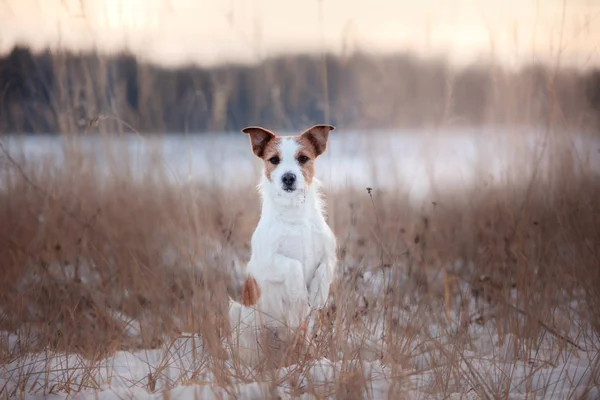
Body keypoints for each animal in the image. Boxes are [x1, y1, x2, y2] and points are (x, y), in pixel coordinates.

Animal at [227, 124, 338, 366]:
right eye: (274, 160)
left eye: (303, 158)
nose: (288, 177)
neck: (295, 215)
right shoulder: (268, 262)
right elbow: (293, 266)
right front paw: (299, 296)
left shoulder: (329, 254)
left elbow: (324, 270)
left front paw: (317, 295)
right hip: (242, 322)